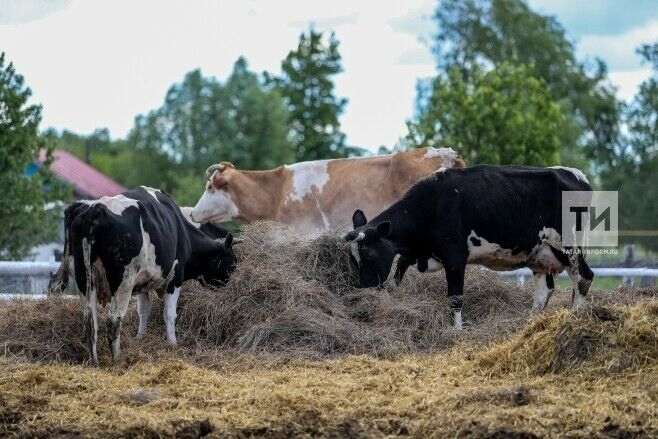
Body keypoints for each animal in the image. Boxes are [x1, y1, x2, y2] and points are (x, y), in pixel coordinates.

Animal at [57, 187, 236, 366]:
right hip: (124, 280)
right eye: (233, 262)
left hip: (84, 277)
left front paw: (140, 337)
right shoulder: (175, 279)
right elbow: (169, 313)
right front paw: (172, 343)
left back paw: (94, 361)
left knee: (89, 320)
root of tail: (95, 209)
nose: (231, 285)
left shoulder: (142, 284)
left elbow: (143, 311)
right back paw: (117, 359)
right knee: (114, 320)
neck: (183, 233)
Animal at [344, 166, 596, 330]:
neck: (431, 204)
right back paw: (529, 323)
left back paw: (574, 318)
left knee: (584, 277)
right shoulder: (411, 253)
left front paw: (456, 330)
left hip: (569, 246)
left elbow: (455, 296)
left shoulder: (455, 257)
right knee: (544, 290)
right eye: (352, 257)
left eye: (368, 253)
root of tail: (576, 176)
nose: (361, 293)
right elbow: (394, 281)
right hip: (540, 252)